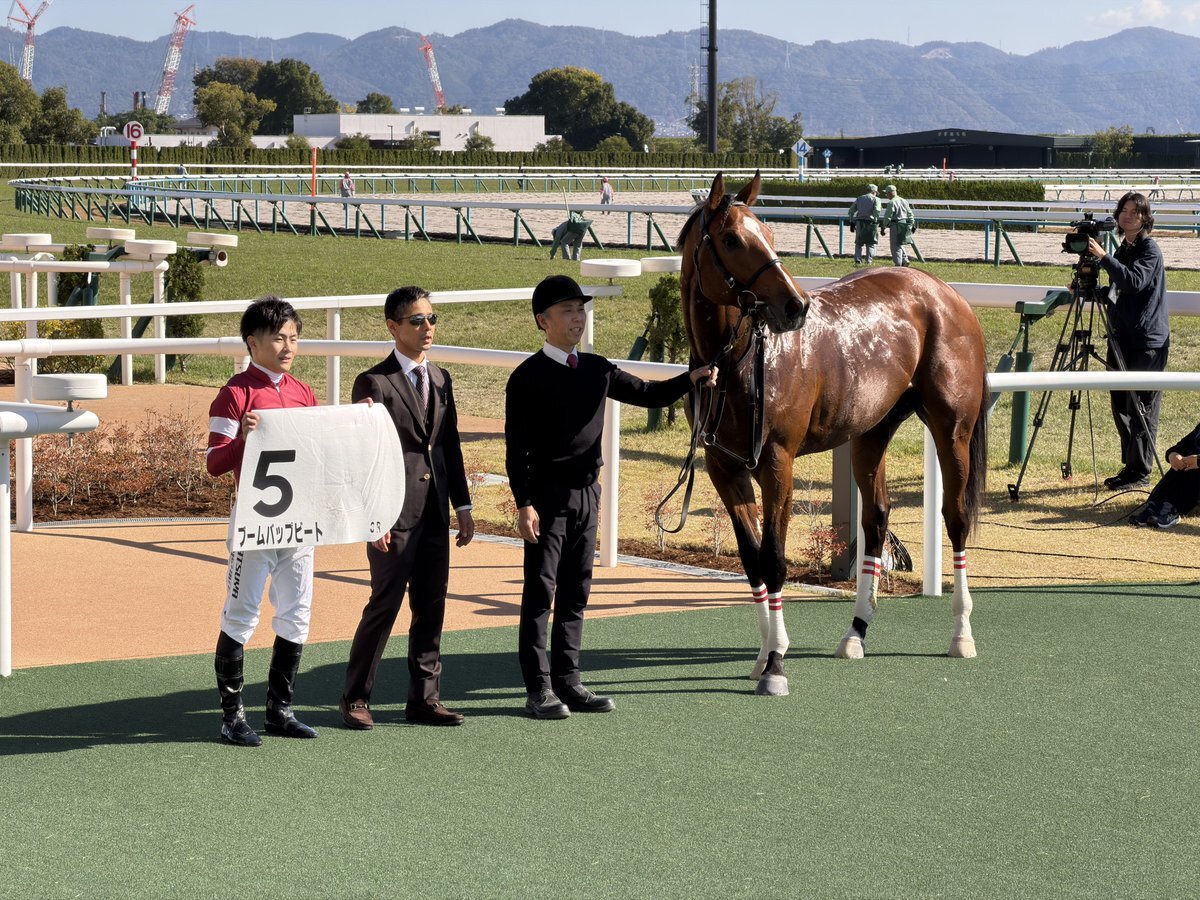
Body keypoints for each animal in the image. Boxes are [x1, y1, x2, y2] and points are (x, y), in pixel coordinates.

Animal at [678, 172, 989, 696]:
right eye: (732, 239)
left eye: (768, 232)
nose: (795, 305)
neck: (737, 364)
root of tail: (942, 292)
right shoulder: (725, 470)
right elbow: (752, 560)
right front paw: (765, 655)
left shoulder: (777, 464)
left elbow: (775, 559)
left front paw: (776, 667)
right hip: (871, 433)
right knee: (877, 519)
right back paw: (856, 632)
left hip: (953, 432)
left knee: (956, 519)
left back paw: (962, 634)